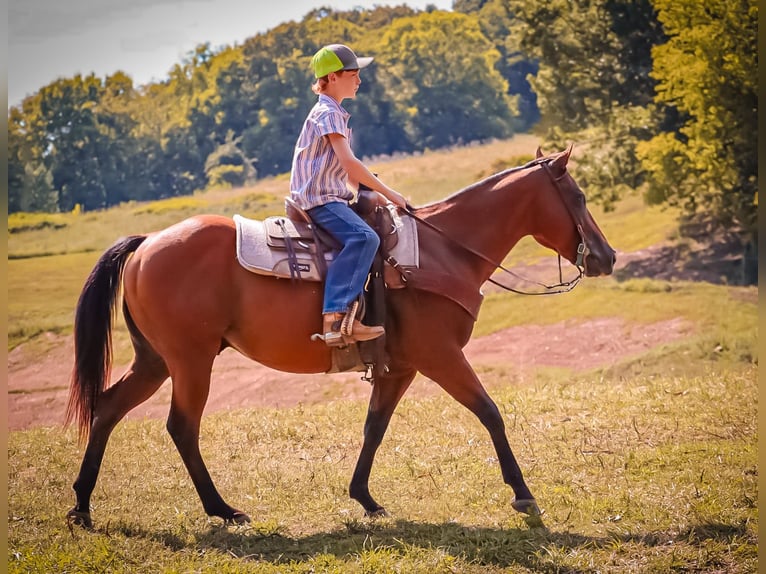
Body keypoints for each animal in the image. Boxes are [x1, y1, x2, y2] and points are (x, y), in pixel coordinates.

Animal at [65, 146, 616, 528]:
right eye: (579, 196)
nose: (606, 257)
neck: (442, 251)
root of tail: (146, 245)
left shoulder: (402, 367)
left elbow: (374, 428)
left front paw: (365, 498)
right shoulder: (440, 357)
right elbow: (490, 412)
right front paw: (524, 494)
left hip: (155, 361)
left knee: (108, 408)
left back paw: (83, 507)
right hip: (190, 361)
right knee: (181, 427)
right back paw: (222, 509)